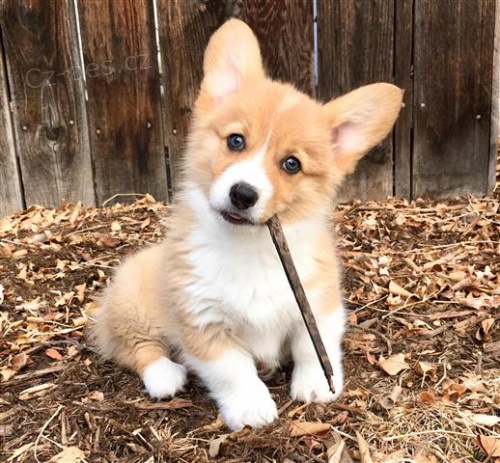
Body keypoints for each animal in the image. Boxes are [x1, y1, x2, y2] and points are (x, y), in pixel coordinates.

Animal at [89, 18, 402, 432]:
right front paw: (252, 409)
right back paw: (165, 375)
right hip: (130, 302)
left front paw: (317, 386)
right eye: (235, 141)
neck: (251, 246)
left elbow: (312, 344)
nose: (242, 194)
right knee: (132, 346)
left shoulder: (318, 301)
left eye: (291, 164)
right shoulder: (202, 322)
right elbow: (233, 371)